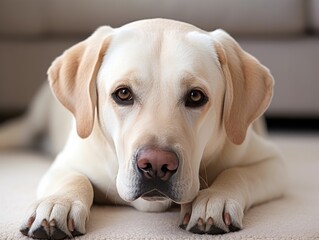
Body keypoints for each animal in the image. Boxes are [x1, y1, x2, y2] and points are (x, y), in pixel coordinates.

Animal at [0, 18, 284, 238]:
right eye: (123, 93)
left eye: (195, 96)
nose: (157, 164)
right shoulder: (66, 162)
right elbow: (74, 177)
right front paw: (58, 203)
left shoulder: (272, 162)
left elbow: (238, 173)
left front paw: (214, 198)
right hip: (34, 120)